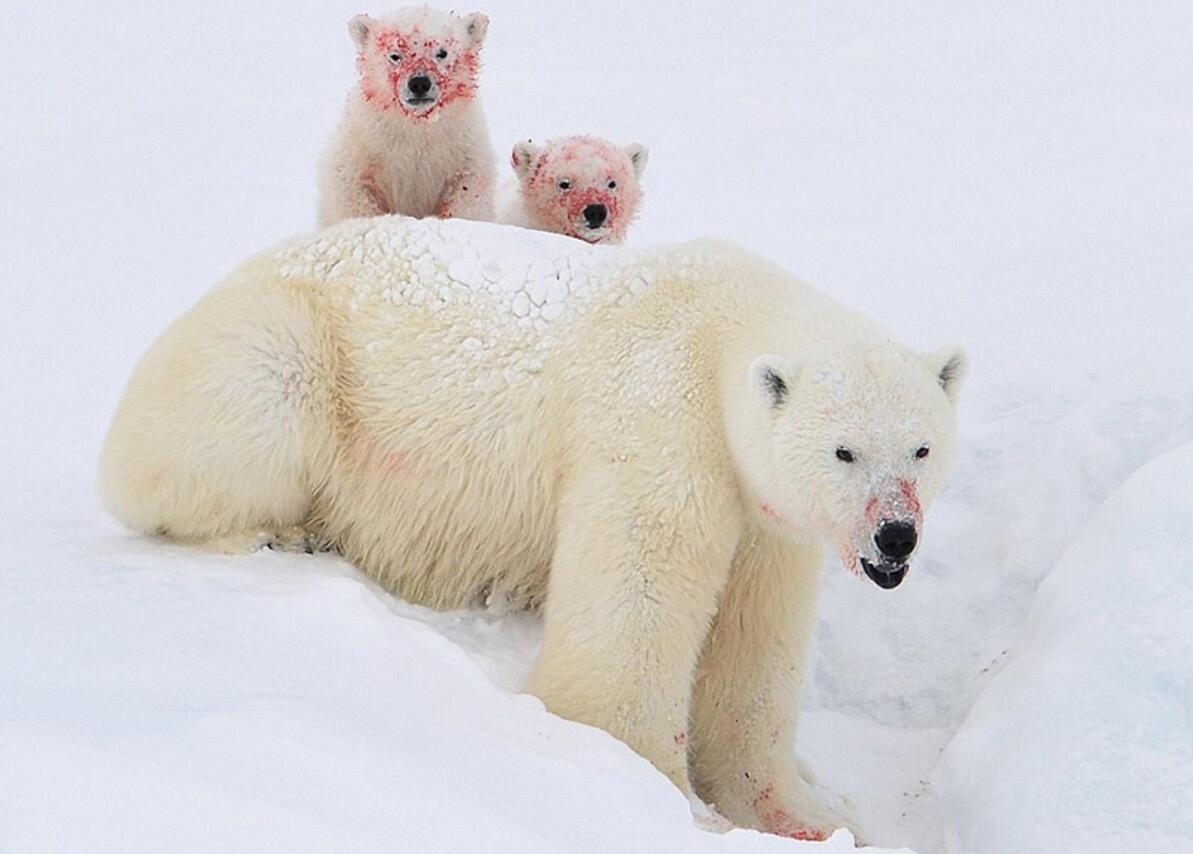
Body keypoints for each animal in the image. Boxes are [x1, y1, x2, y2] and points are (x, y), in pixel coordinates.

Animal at [97, 214, 963, 839]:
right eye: (844, 451)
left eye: (921, 448)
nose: (894, 536)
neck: (720, 327)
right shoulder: (658, 418)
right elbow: (635, 606)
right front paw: (658, 798)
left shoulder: (765, 515)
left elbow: (753, 643)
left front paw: (799, 815)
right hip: (283, 357)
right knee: (244, 414)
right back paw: (269, 534)